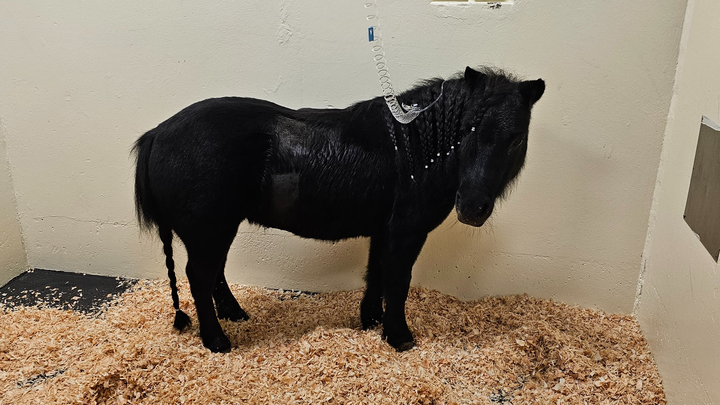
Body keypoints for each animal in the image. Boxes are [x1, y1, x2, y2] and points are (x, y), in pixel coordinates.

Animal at [133, 66, 545, 352]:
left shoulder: (385, 230)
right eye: (469, 129)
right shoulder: (406, 232)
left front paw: (372, 321)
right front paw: (399, 336)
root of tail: (157, 134)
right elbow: (398, 281)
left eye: (517, 138)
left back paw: (234, 315)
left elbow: (376, 274)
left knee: (212, 273)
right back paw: (216, 340)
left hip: (215, 230)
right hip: (209, 230)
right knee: (199, 275)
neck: (412, 150)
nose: (472, 207)